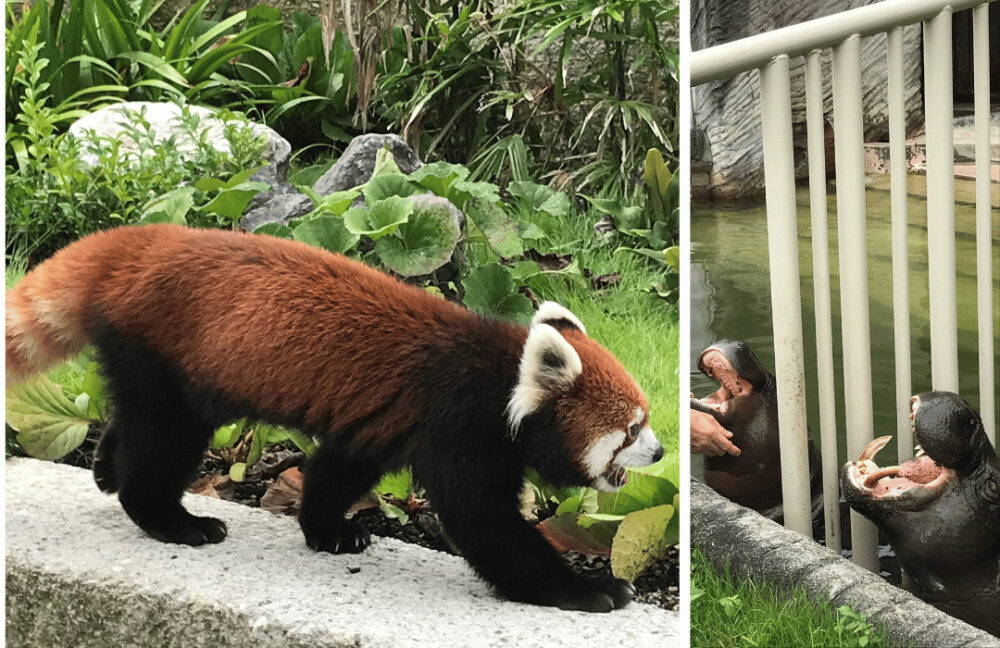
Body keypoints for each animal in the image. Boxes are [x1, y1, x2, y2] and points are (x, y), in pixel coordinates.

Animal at [7, 225, 668, 612]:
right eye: (631, 430)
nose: (660, 452)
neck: (502, 378)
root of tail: (137, 241)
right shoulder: (458, 426)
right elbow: (487, 526)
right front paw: (586, 589)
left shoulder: (384, 424)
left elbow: (340, 469)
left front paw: (329, 530)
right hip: (168, 351)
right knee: (166, 438)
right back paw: (172, 519)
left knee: (139, 418)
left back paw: (105, 466)